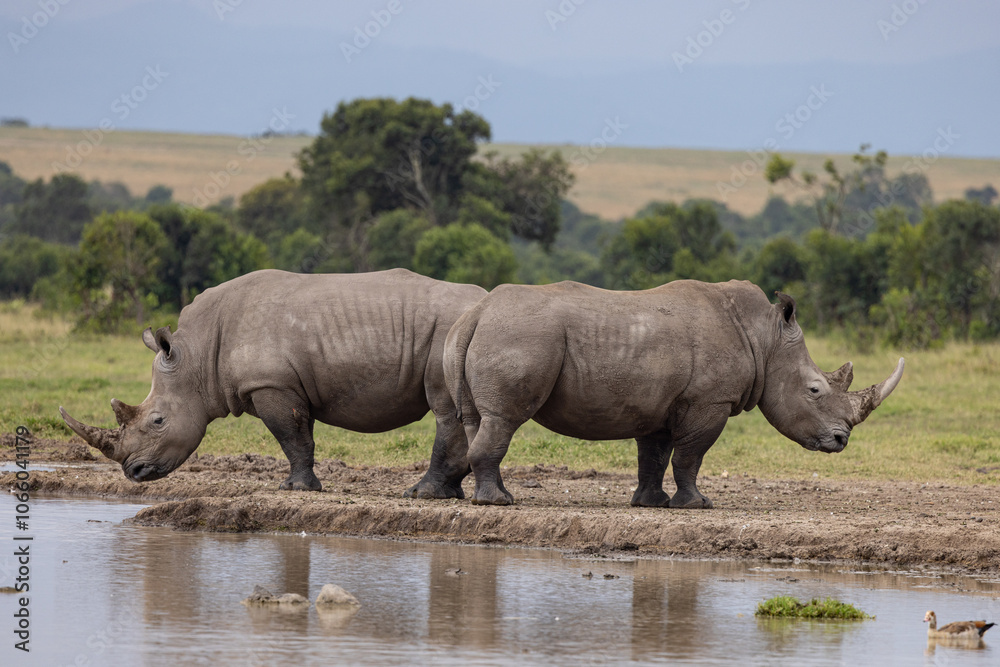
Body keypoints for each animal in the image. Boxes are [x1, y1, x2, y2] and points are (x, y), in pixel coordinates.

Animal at [60, 269, 486, 492]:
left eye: (158, 421)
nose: (133, 473)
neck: (197, 355)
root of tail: (486, 302)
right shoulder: (289, 384)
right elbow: (302, 436)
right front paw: (304, 485)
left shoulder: (270, 384)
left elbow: (291, 437)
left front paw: (295, 489)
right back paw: (447, 493)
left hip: (449, 334)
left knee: (447, 410)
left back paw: (424, 494)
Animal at [435, 279, 904, 508]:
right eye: (814, 389)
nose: (841, 440)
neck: (765, 338)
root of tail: (477, 312)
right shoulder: (709, 402)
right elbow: (690, 456)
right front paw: (697, 505)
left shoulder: (659, 403)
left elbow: (655, 456)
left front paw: (651, 504)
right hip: (519, 335)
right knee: (504, 420)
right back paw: (500, 502)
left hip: (478, 335)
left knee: (478, 419)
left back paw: (490, 496)